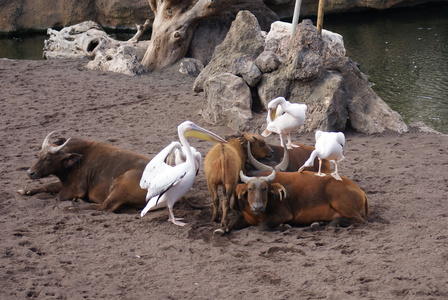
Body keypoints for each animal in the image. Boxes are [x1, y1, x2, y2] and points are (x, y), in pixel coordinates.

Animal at [17, 132, 149, 212]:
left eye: (48, 158)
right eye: (39, 154)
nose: (30, 172)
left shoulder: (76, 188)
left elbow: (59, 196)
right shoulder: (66, 182)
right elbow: (48, 185)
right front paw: (25, 191)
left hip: (121, 187)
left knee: (104, 206)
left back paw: (73, 206)